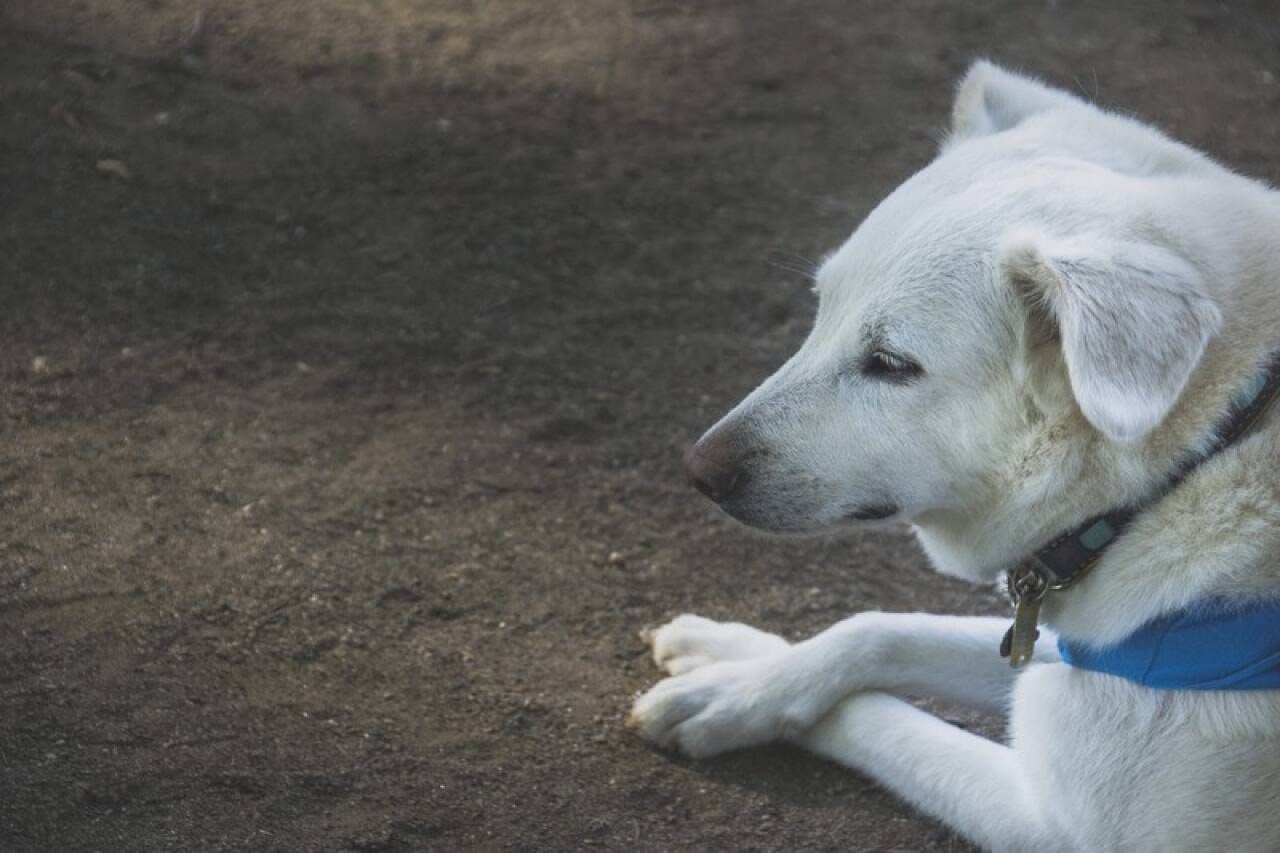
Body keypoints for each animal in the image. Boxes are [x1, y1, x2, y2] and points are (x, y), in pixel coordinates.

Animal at [627, 63, 1280, 845]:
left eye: (889, 364)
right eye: (820, 309)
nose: (698, 470)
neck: (1192, 466)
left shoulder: (1054, 824)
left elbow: (874, 714)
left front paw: (725, 699)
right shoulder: (1044, 645)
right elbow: (874, 629)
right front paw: (736, 665)